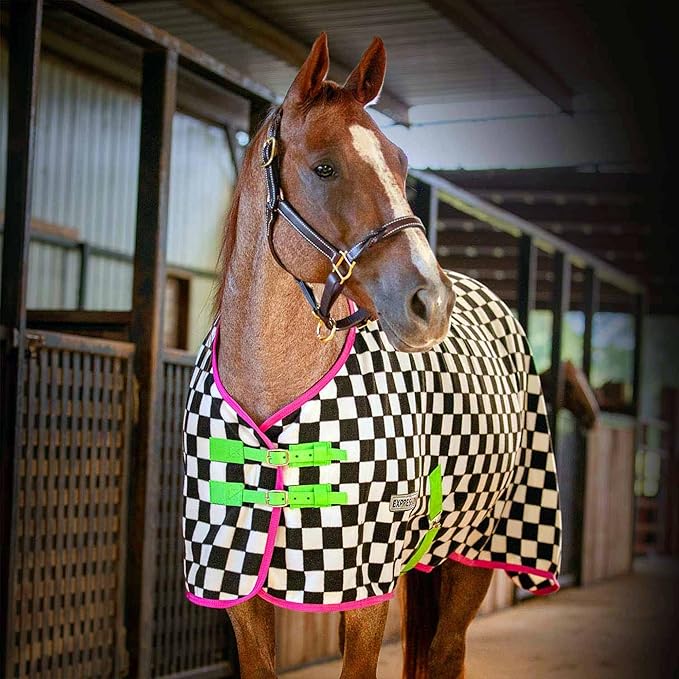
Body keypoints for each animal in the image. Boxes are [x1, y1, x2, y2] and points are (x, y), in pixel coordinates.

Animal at [182, 34, 561, 679]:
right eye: (324, 167)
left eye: (403, 165)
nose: (431, 302)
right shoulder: (234, 580)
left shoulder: (363, 585)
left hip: (479, 549)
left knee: (446, 651)